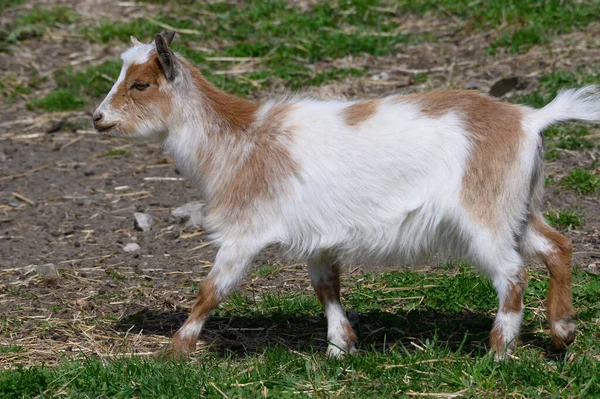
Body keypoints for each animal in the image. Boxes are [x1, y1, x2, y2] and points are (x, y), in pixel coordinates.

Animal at [94, 32, 600, 360]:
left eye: (140, 84)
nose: (98, 117)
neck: (240, 139)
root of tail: (530, 119)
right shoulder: (317, 237)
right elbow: (326, 287)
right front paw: (342, 347)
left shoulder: (245, 231)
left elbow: (211, 289)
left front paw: (175, 351)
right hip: (516, 206)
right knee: (556, 246)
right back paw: (563, 333)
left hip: (485, 215)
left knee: (512, 275)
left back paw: (498, 353)